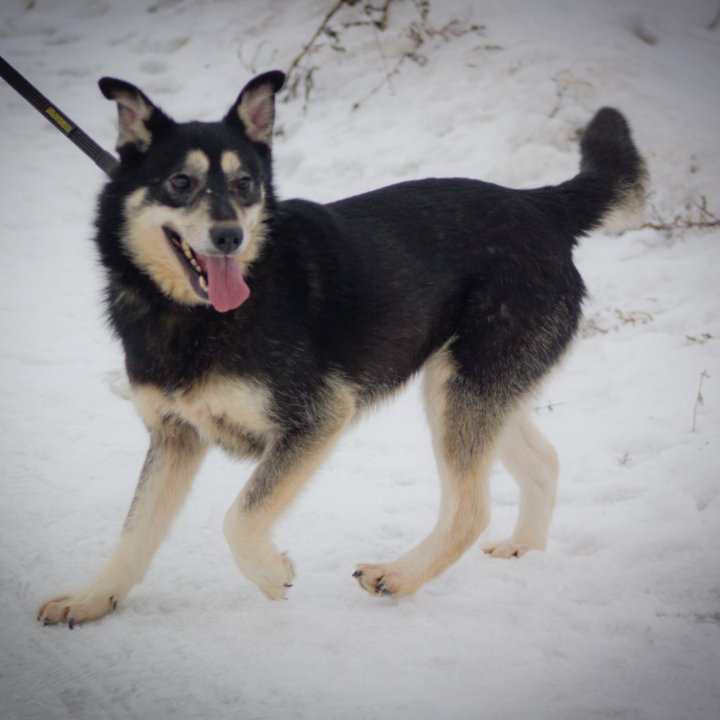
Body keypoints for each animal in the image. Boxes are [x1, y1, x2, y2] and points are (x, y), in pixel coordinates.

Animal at [38, 70, 648, 628]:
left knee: (470, 509)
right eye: (181, 181)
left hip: (462, 388)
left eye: (245, 184)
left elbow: (238, 517)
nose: (231, 237)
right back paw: (525, 548)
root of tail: (540, 205)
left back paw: (399, 575)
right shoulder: (174, 436)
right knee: (542, 461)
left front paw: (269, 572)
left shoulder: (317, 416)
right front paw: (92, 599)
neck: (196, 314)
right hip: (467, 386)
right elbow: (136, 531)